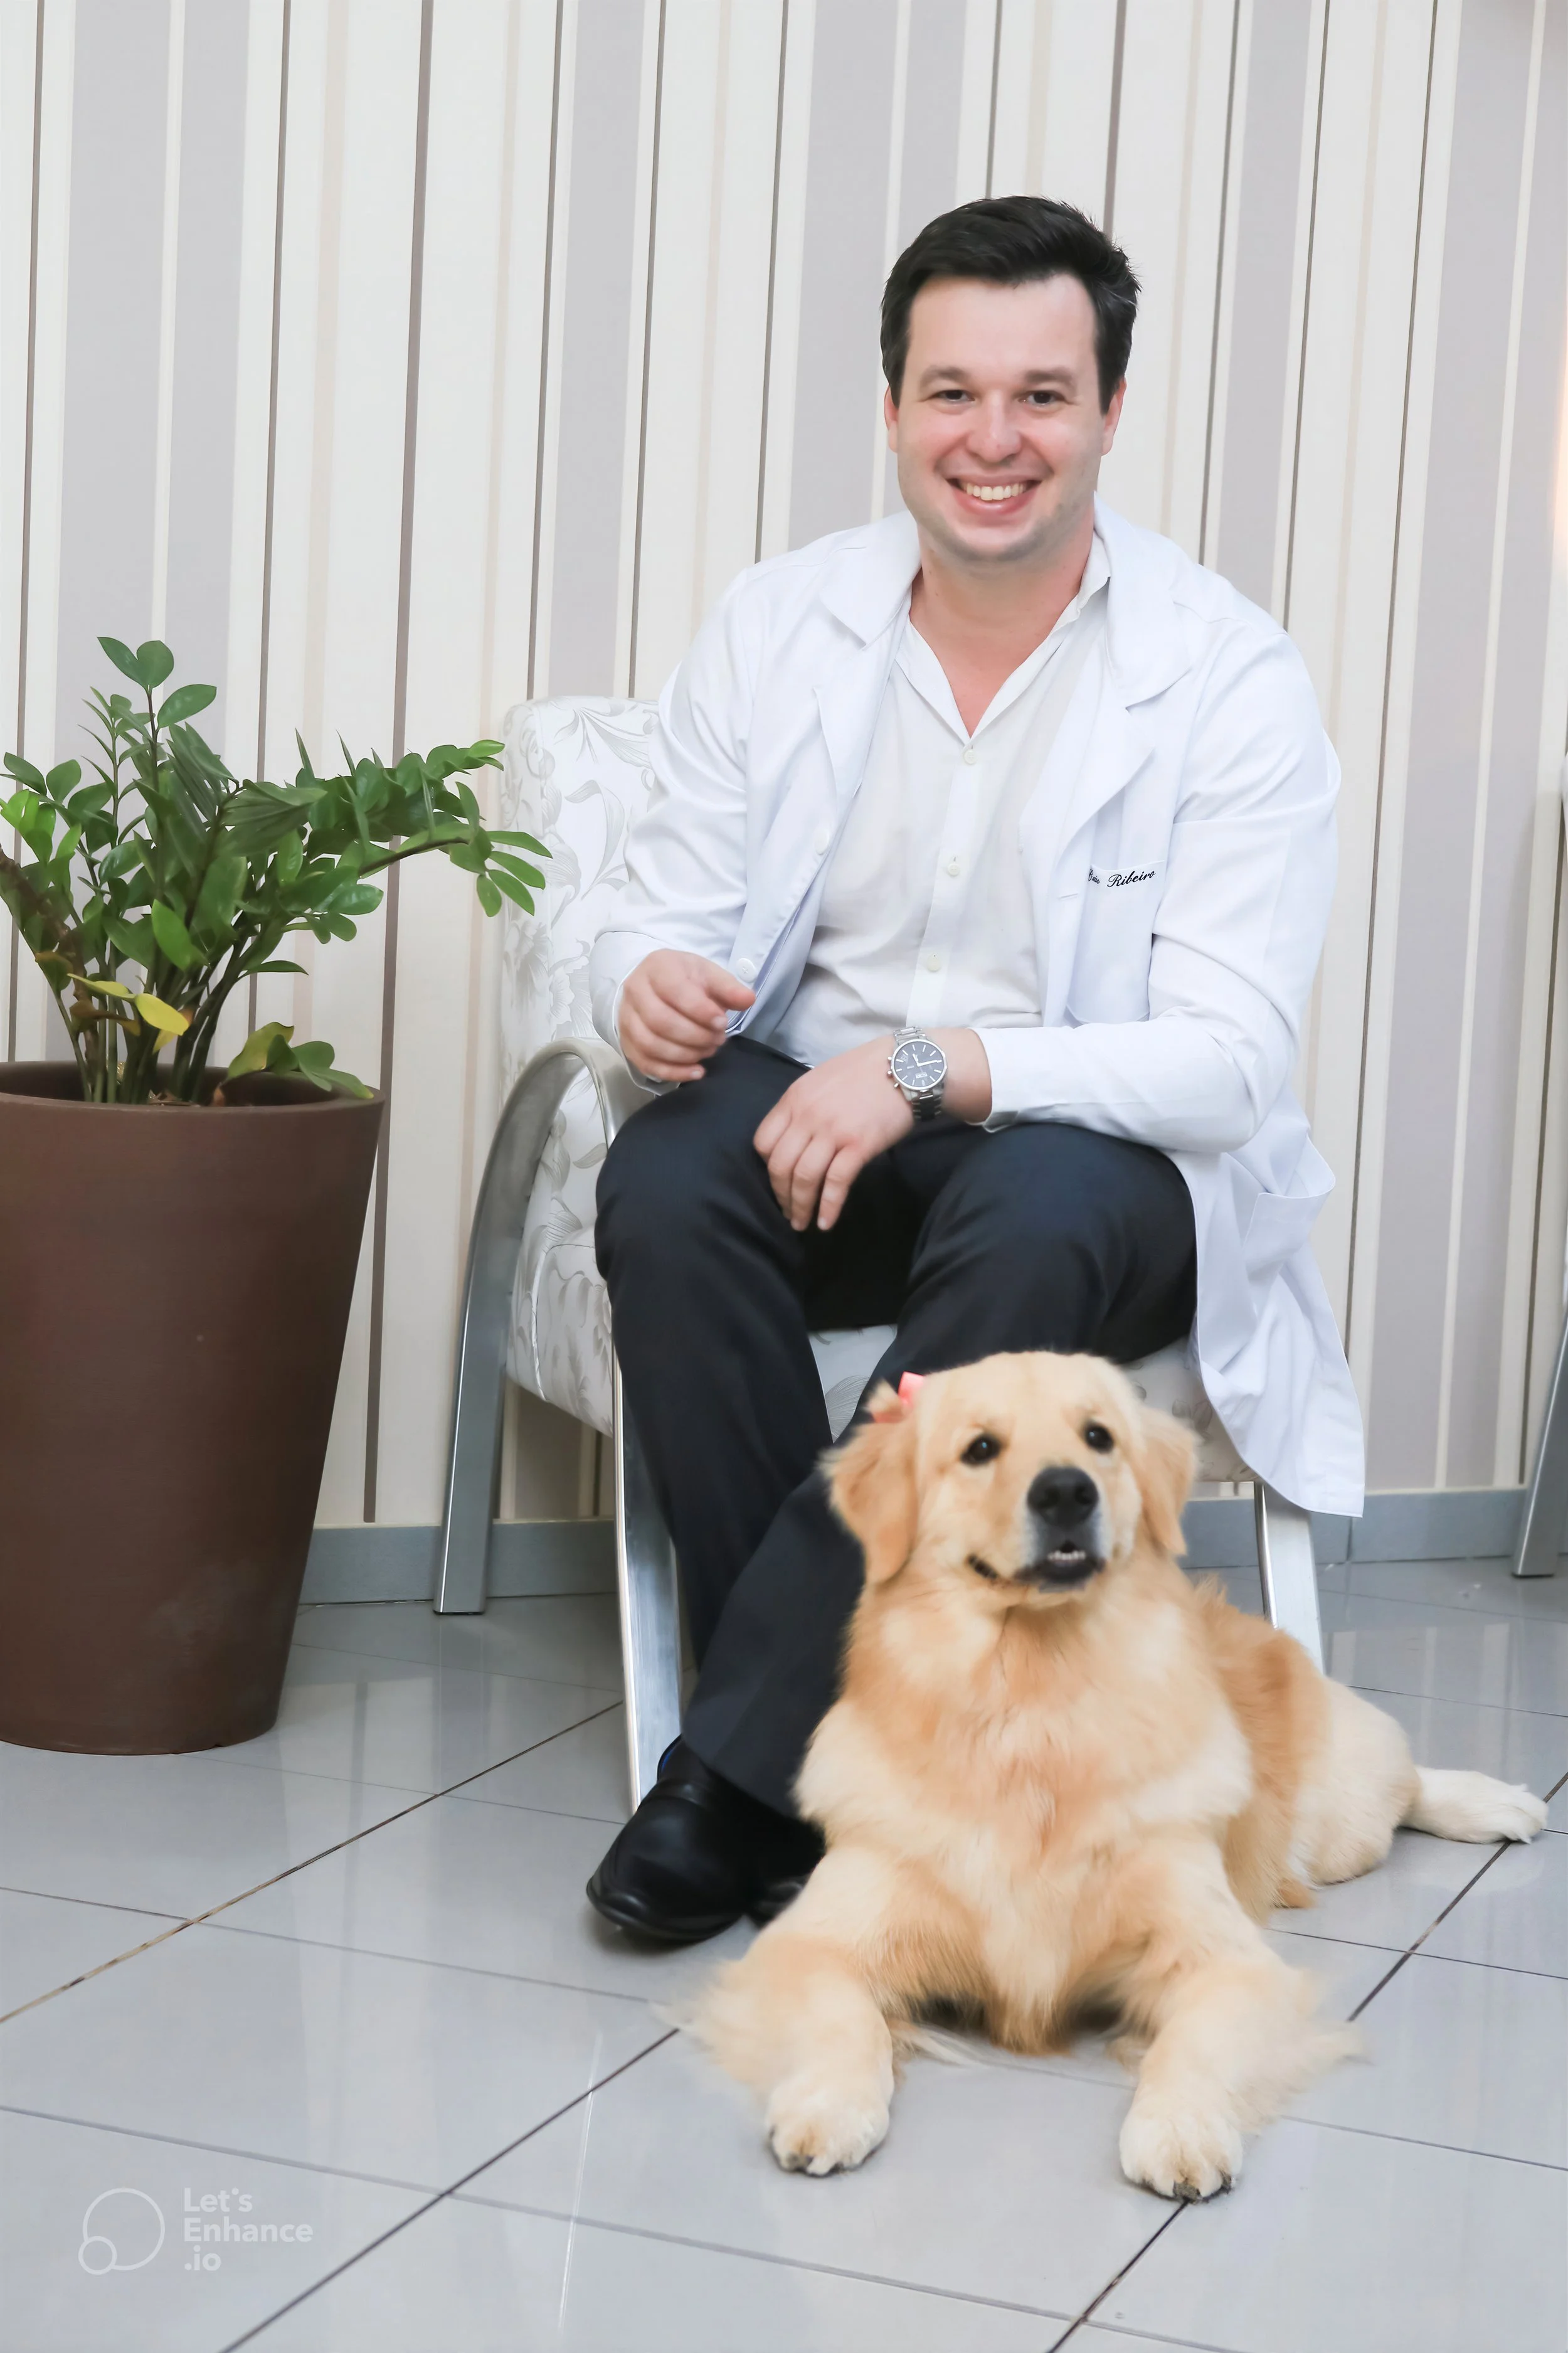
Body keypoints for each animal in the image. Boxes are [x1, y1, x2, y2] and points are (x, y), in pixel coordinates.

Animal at [695, 1350, 1548, 2199]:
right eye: (979, 1448)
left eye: (1098, 1436)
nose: (1067, 1491)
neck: (1036, 1699)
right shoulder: (815, 1940)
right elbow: (843, 2017)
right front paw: (827, 2105)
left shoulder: (1222, 1956)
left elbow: (1191, 2045)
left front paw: (1180, 2130)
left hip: (1343, 1819)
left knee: (1408, 1781)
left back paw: (1501, 1803)